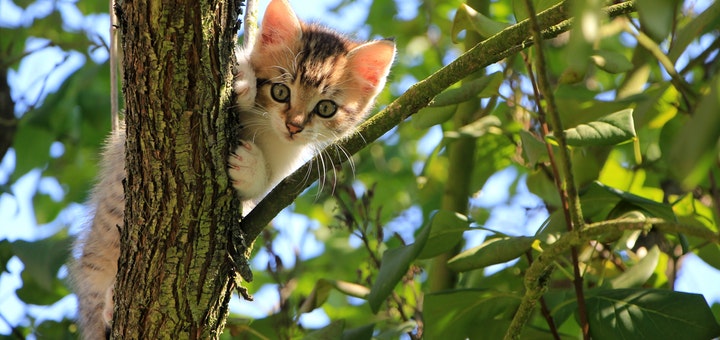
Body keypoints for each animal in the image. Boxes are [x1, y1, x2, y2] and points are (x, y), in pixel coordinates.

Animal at [71, 0, 396, 338]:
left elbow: (264, 186)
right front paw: (243, 80)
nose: (294, 126)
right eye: (281, 91)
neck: (266, 130)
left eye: (326, 108)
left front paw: (250, 168)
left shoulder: (285, 163)